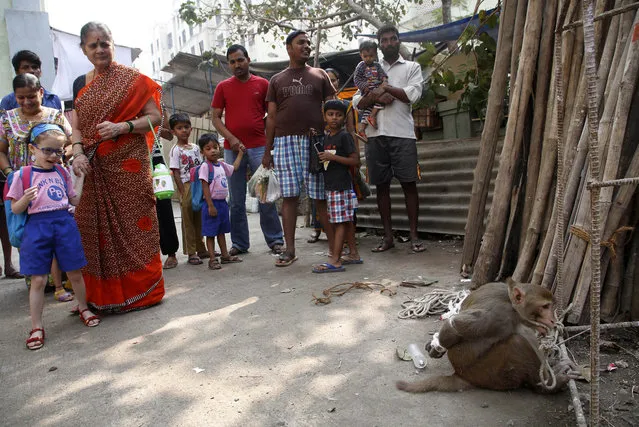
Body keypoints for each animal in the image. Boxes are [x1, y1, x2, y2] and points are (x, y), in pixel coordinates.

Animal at [398, 278, 576, 394]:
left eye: (550, 306)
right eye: (545, 306)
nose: (552, 319)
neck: (511, 303)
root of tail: (460, 374)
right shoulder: (498, 314)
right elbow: (455, 324)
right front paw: (438, 345)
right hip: (488, 375)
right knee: (516, 342)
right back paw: (542, 386)